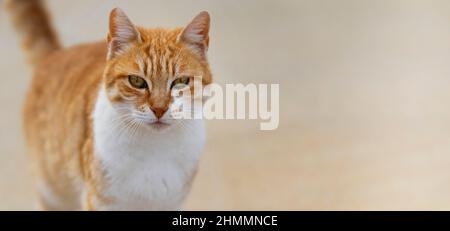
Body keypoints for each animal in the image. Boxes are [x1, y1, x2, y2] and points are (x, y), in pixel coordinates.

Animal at [5, 0, 213, 210]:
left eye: (181, 81)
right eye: (137, 81)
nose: (159, 109)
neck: (156, 148)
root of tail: (57, 53)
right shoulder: (101, 202)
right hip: (53, 191)